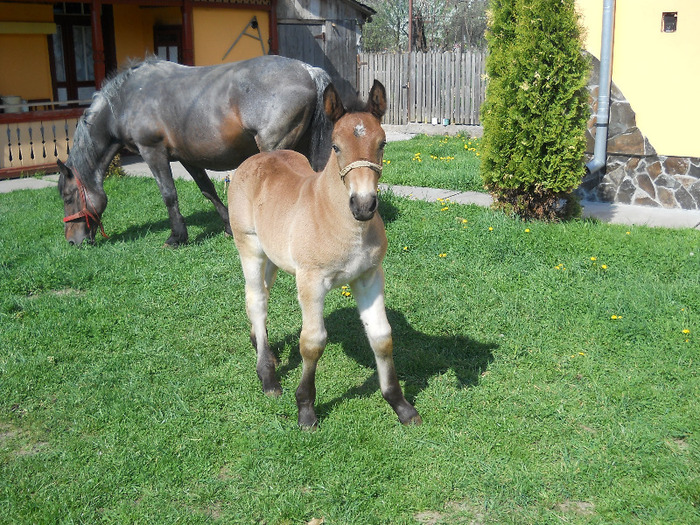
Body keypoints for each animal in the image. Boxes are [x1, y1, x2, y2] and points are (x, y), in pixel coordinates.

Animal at [56, 54, 330, 247]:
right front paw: (228, 227)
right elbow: (208, 190)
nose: (71, 240)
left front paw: (177, 237)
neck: (127, 99)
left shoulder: (152, 152)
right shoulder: (188, 158)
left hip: (275, 148)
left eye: (68, 197)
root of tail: (309, 71)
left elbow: (169, 194)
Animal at [228, 81, 422, 426]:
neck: (341, 224)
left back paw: (262, 347)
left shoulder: (369, 276)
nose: (364, 205)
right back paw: (268, 376)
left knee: (262, 295)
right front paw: (305, 409)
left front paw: (401, 405)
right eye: (335, 146)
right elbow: (312, 342)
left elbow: (382, 336)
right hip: (249, 246)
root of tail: (253, 160)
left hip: (273, 256)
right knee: (256, 300)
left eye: (382, 143)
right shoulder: (310, 281)